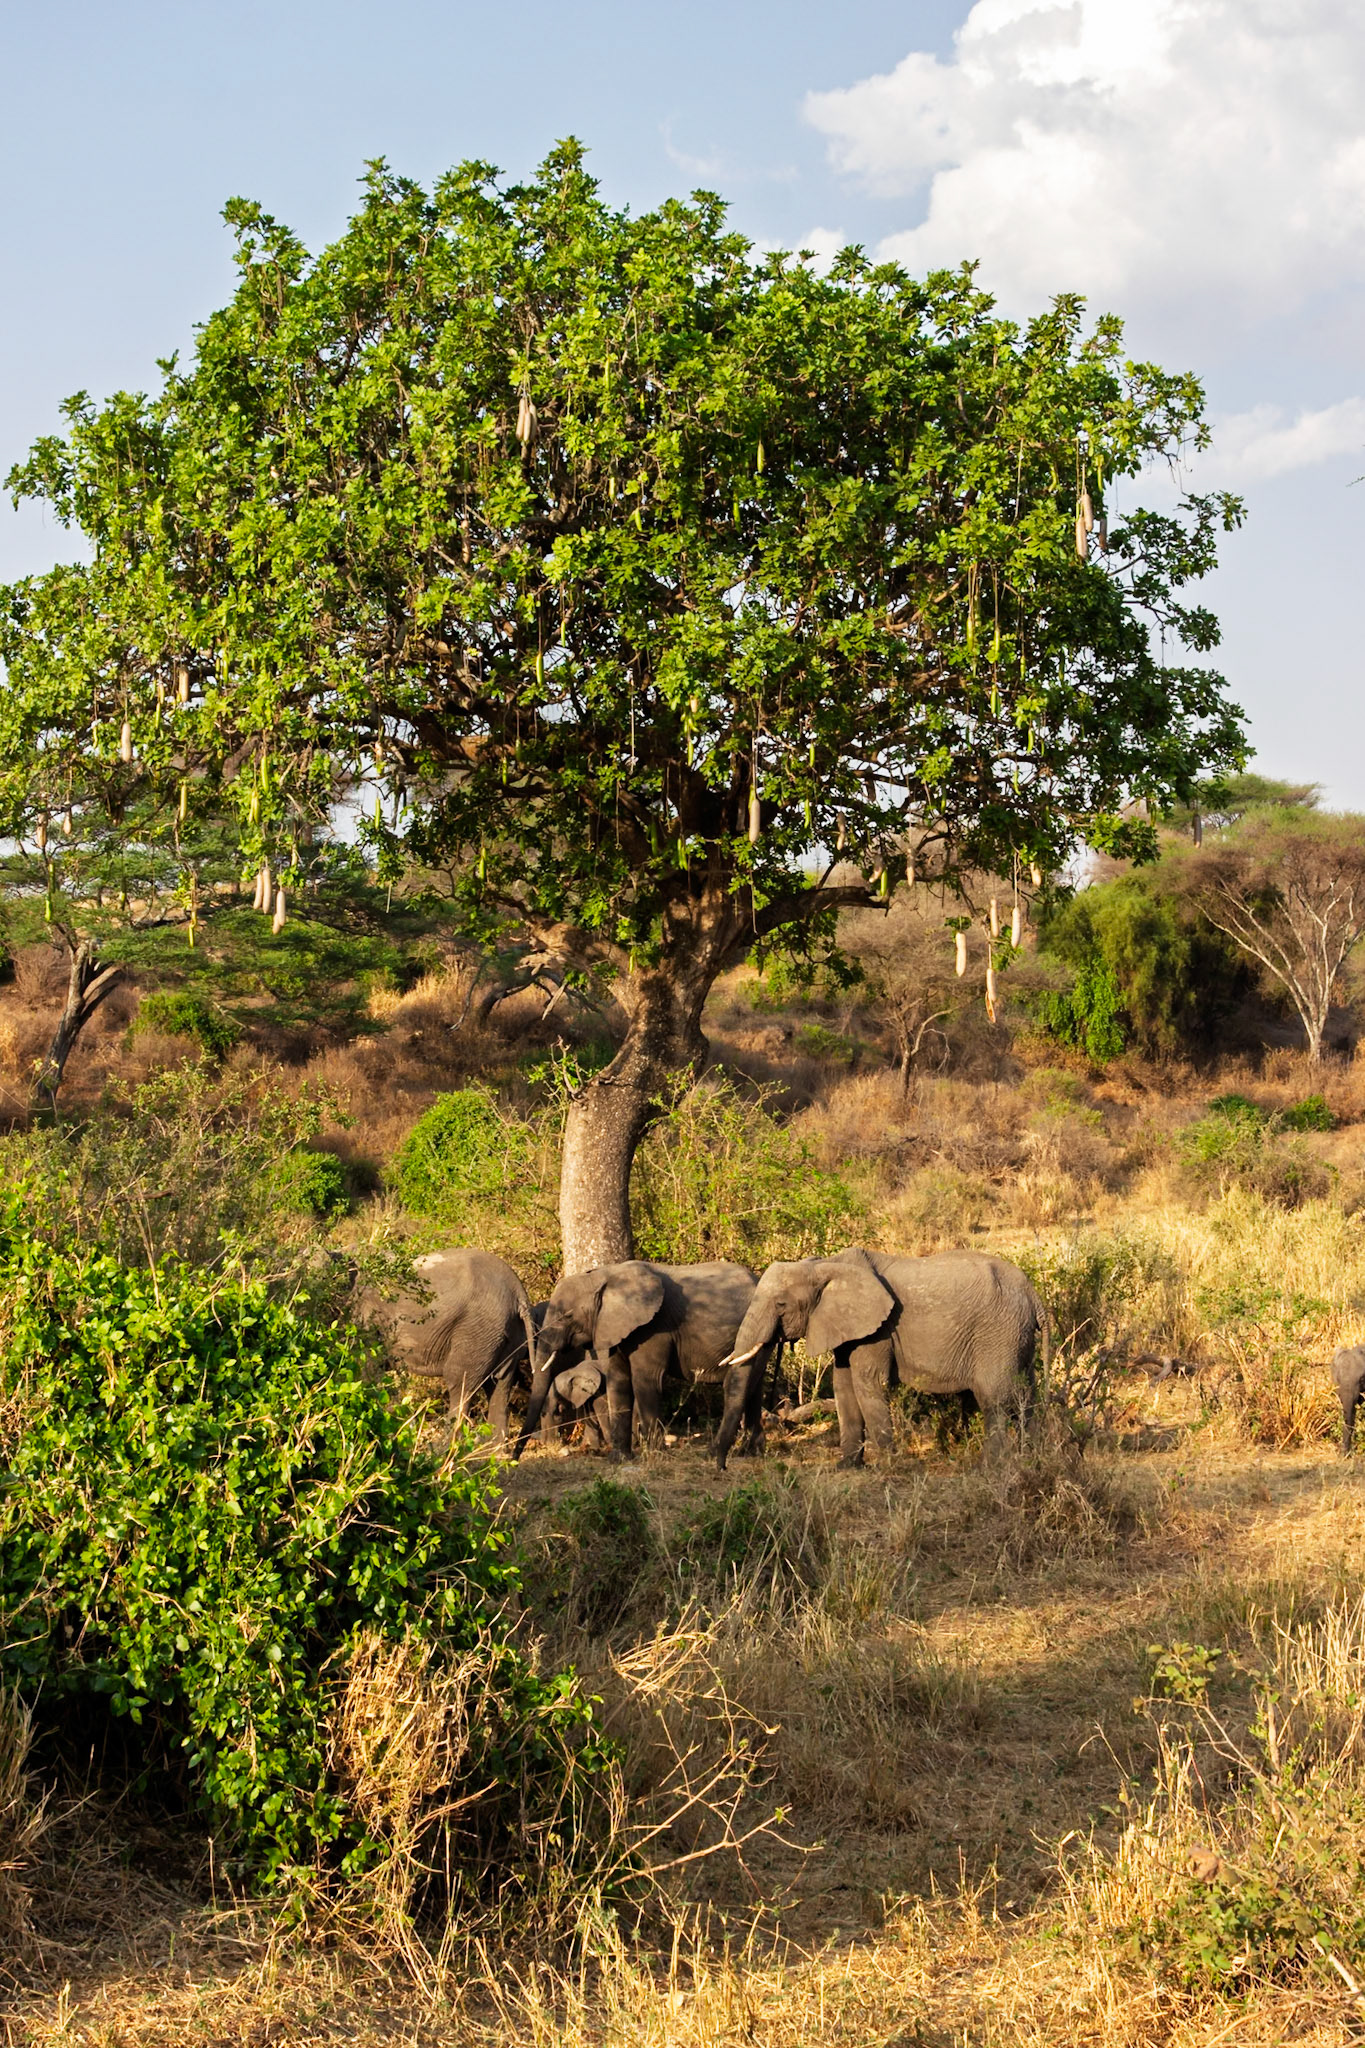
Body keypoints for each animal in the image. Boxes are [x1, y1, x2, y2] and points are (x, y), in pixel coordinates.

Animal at [360, 1246, 540, 1446]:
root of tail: (519, 1292)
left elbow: (367, 1372)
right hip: (505, 1332)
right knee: (499, 1383)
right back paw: (491, 1452)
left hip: (478, 1328)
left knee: (459, 1382)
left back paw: (442, 1449)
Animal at [517, 1260, 776, 1469]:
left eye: (567, 1317)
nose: (513, 1458)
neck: (606, 1275)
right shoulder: (617, 1328)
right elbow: (619, 1382)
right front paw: (619, 1459)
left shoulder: (653, 1327)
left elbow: (646, 1380)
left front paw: (654, 1455)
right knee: (754, 1387)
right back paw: (750, 1452)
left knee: (744, 1384)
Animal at [720, 1246, 1047, 1468]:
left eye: (781, 1305)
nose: (722, 1464)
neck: (825, 1266)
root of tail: (1034, 1295)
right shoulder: (848, 1328)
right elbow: (843, 1387)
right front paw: (847, 1467)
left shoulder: (878, 1330)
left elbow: (867, 1382)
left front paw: (890, 1465)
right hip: (1017, 1336)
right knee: (1026, 1394)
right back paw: (1032, 1457)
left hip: (998, 1332)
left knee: (995, 1398)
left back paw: (991, 1466)